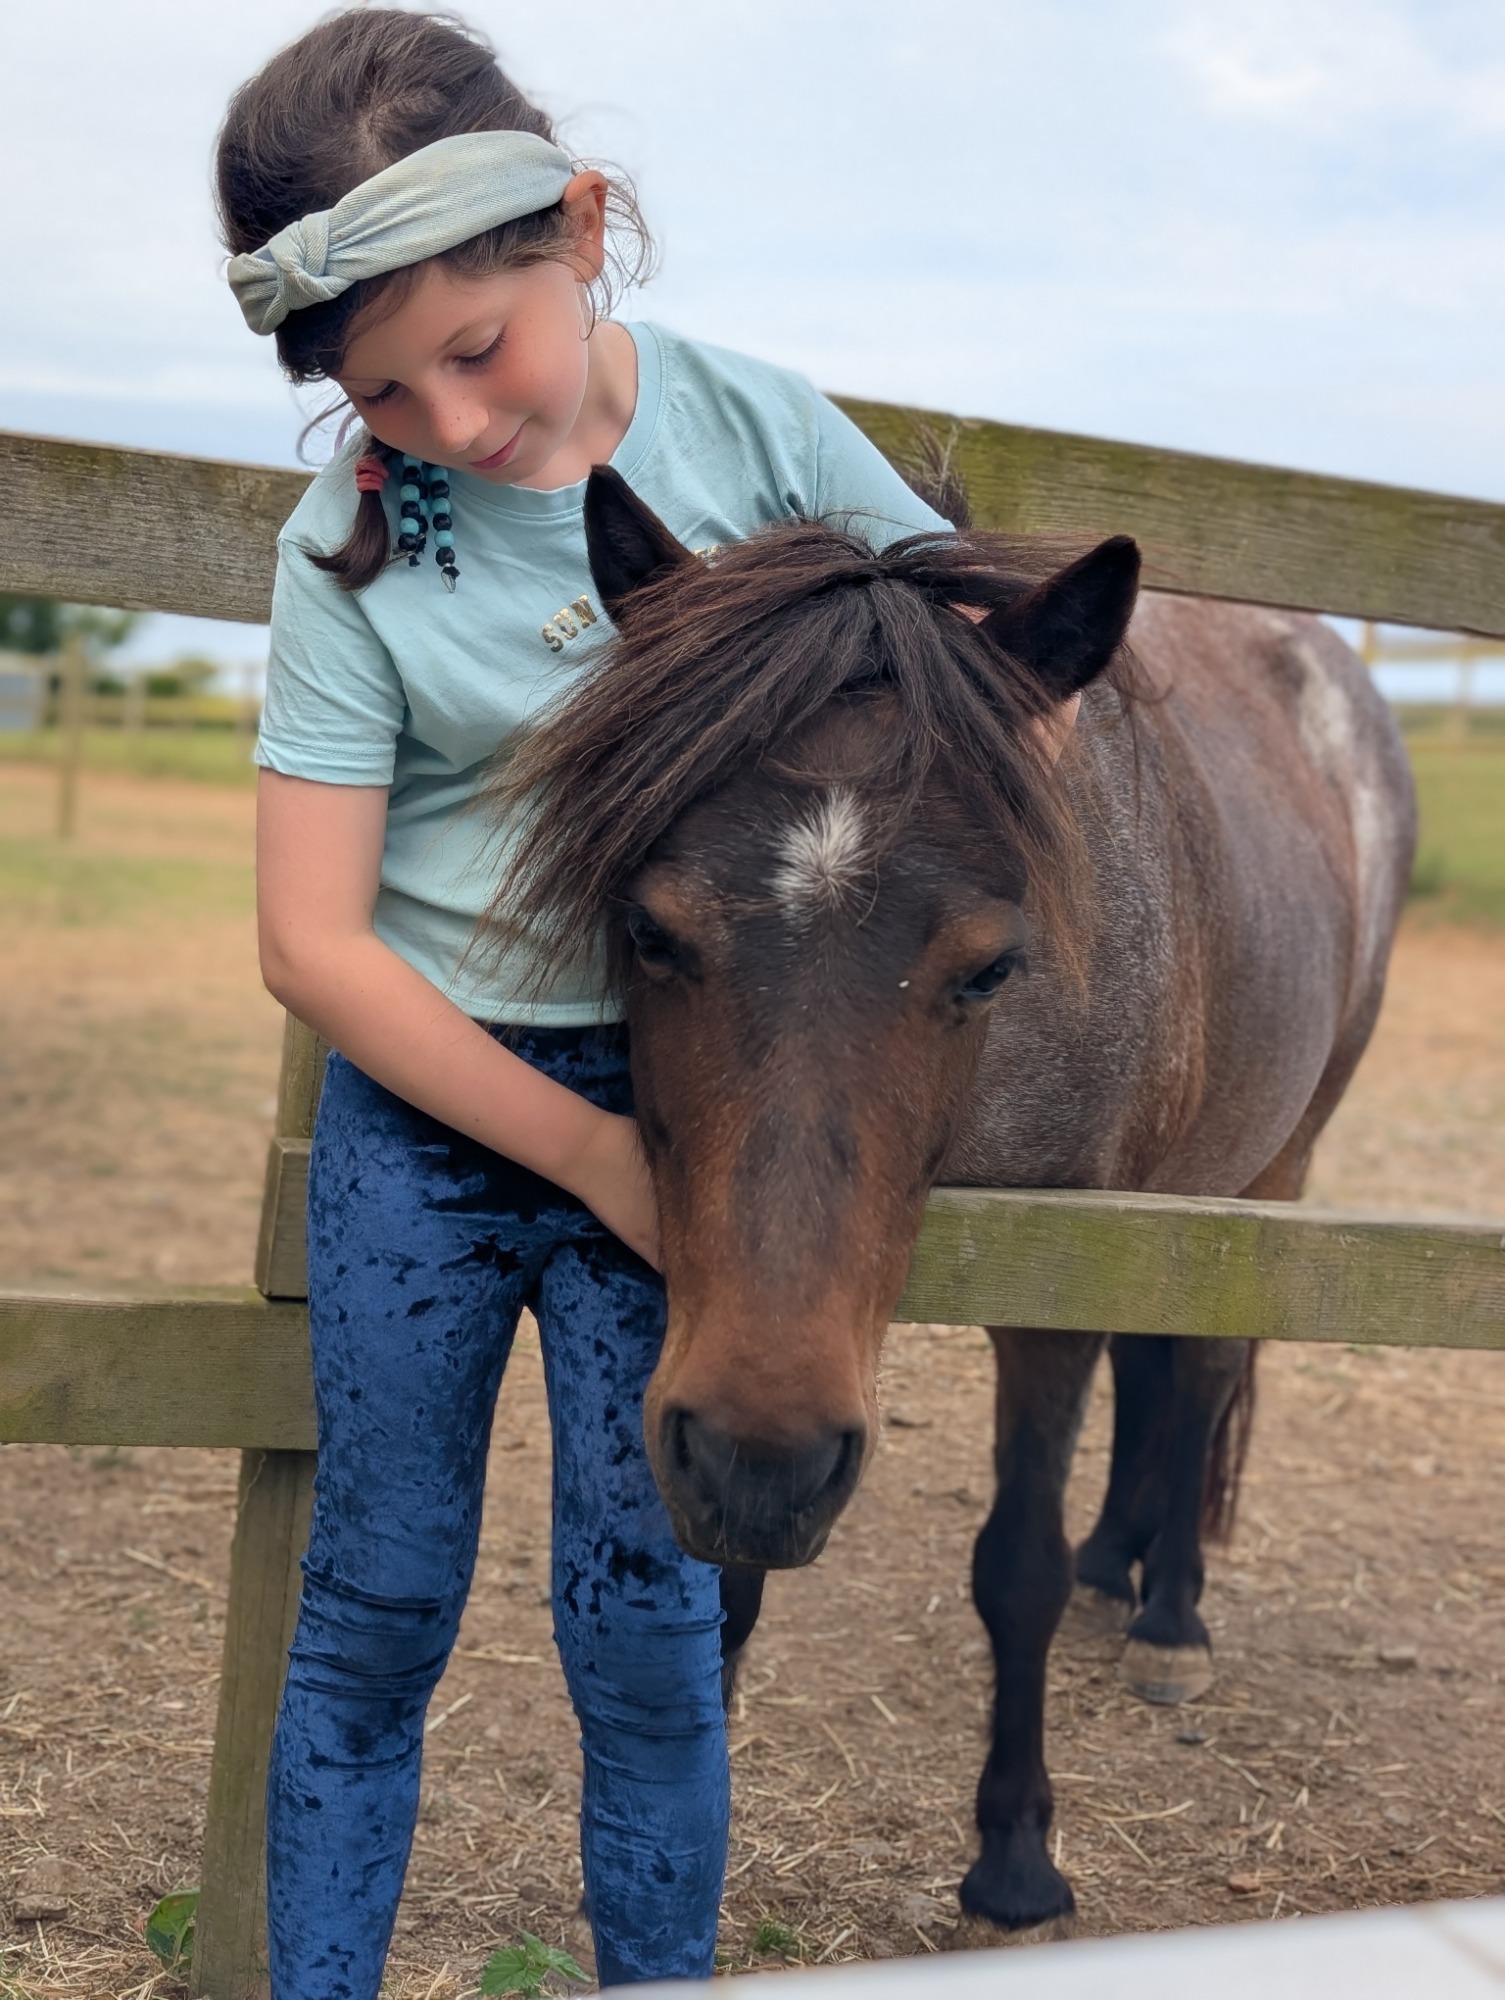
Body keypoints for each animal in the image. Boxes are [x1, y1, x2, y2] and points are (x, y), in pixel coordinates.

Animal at [483, 465, 1416, 1933]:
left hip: (1270, 1172)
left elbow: (1012, 1566)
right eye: (647, 929)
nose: (763, 1460)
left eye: (988, 966)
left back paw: (1169, 1618)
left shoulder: (1053, 1289)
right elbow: (729, 1584)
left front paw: (1016, 1855)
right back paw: (1119, 1561)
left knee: (1203, 1368)